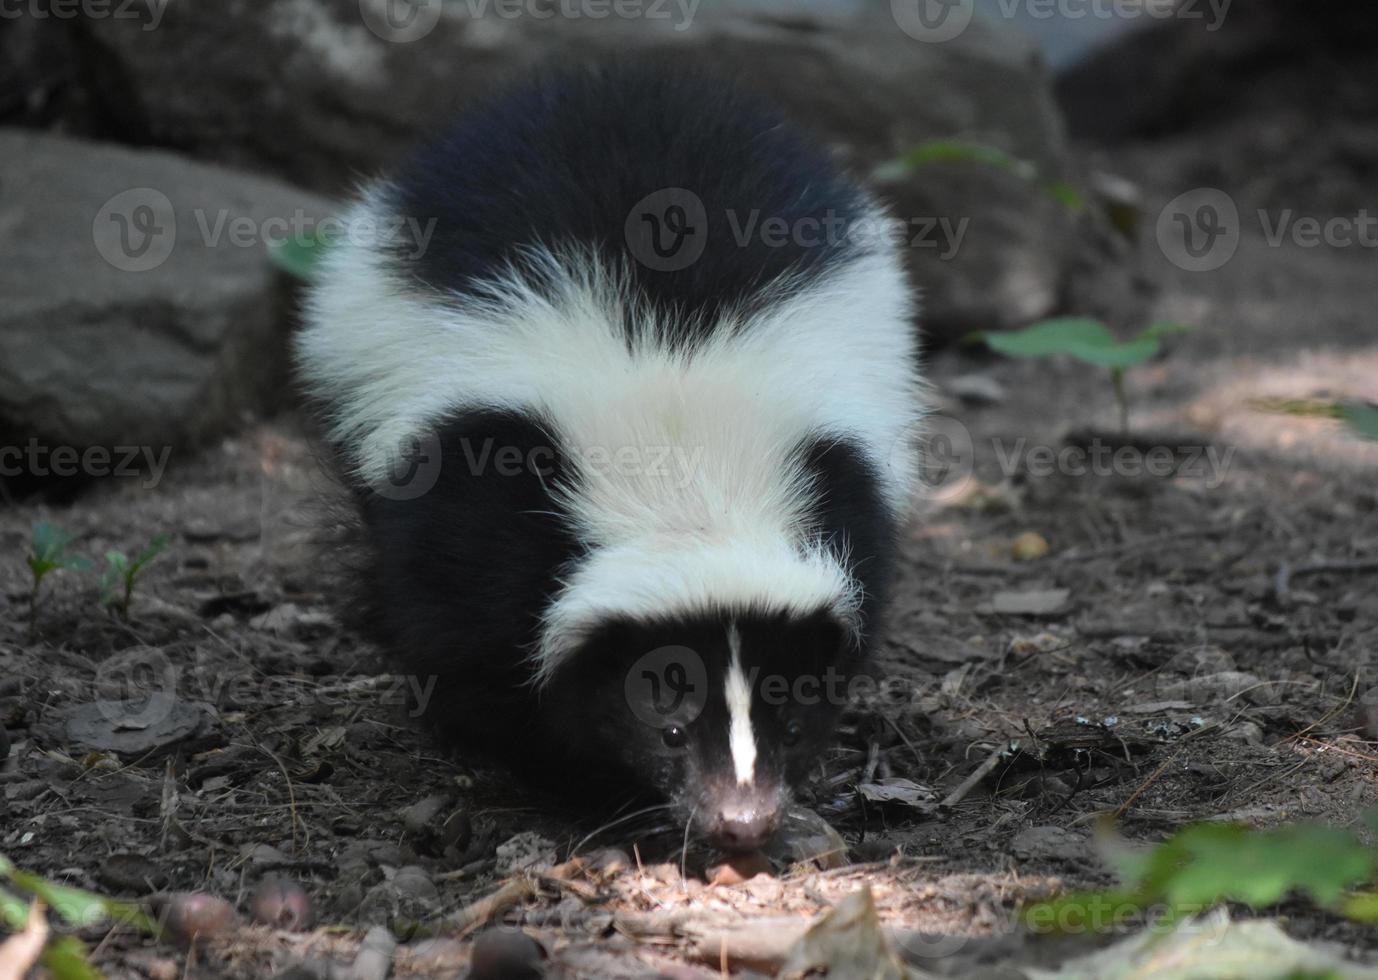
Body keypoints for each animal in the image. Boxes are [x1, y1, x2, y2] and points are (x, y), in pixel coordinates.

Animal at [301, 65, 926, 854]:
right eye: (667, 728)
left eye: (789, 722)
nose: (742, 820)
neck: (686, 488)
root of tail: (619, 82)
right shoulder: (480, 490)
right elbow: (474, 649)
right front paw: (568, 778)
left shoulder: (842, 479)